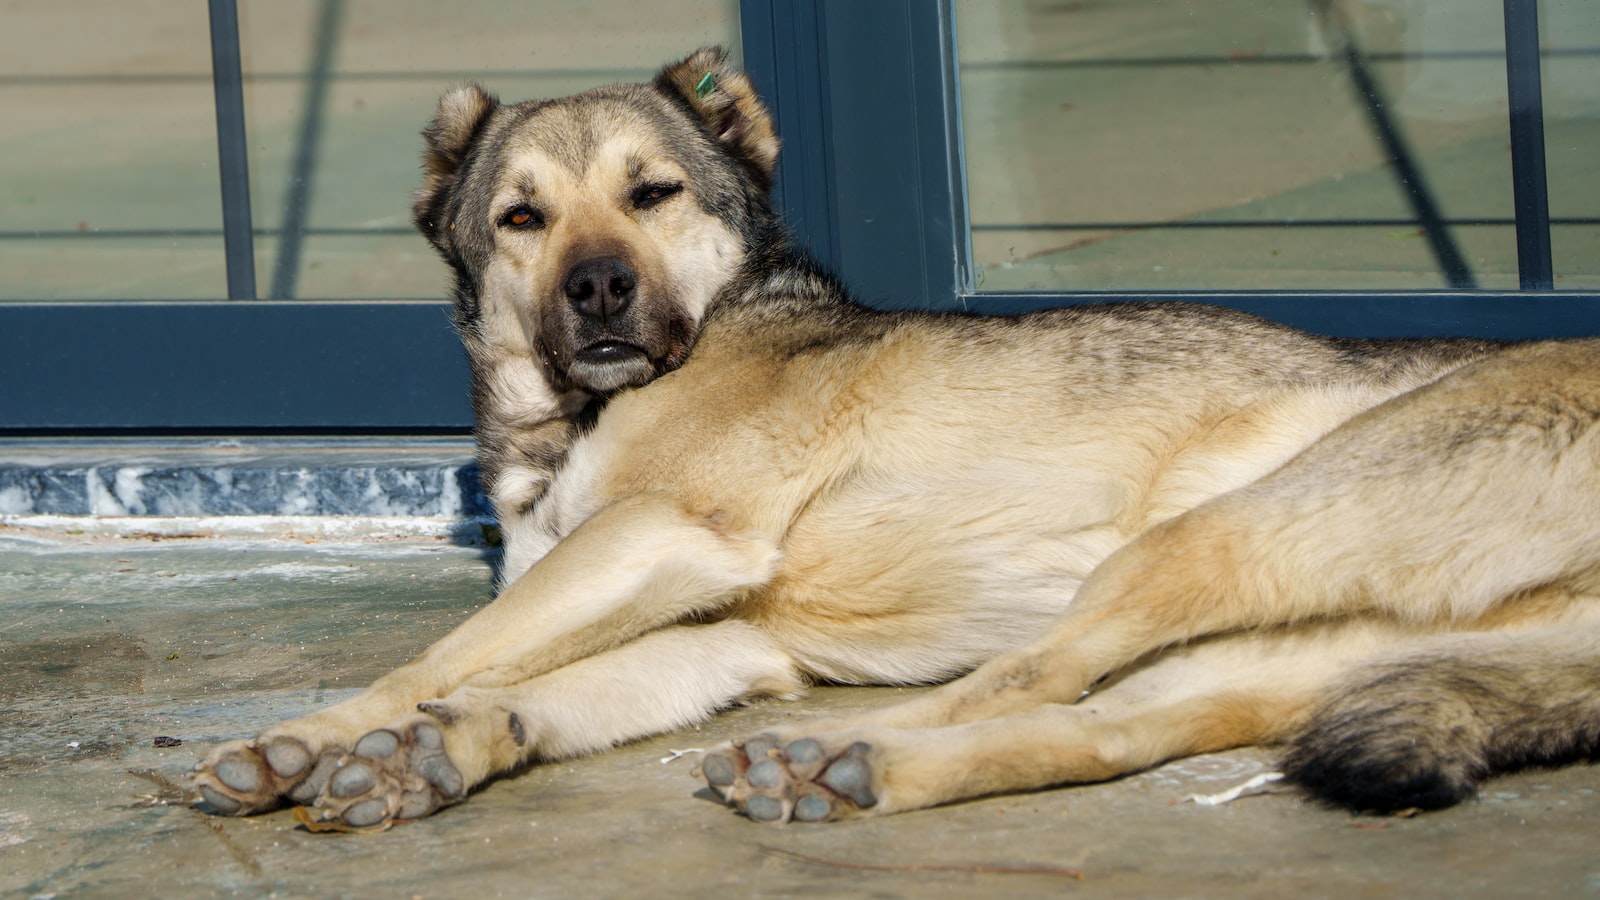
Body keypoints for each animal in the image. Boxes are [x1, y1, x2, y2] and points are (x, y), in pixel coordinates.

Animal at [196, 49, 1600, 826]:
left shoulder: (668, 539)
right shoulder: (730, 637)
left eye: (652, 193)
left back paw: (839, 750)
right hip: (1302, 647)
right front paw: (435, 753)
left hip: (1217, 537)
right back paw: (849, 771)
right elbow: (523, 681)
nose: (596, 290)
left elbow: (448, 653)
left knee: (1026, 677)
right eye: (522, 219)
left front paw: (320, 737)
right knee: (1108, 729)